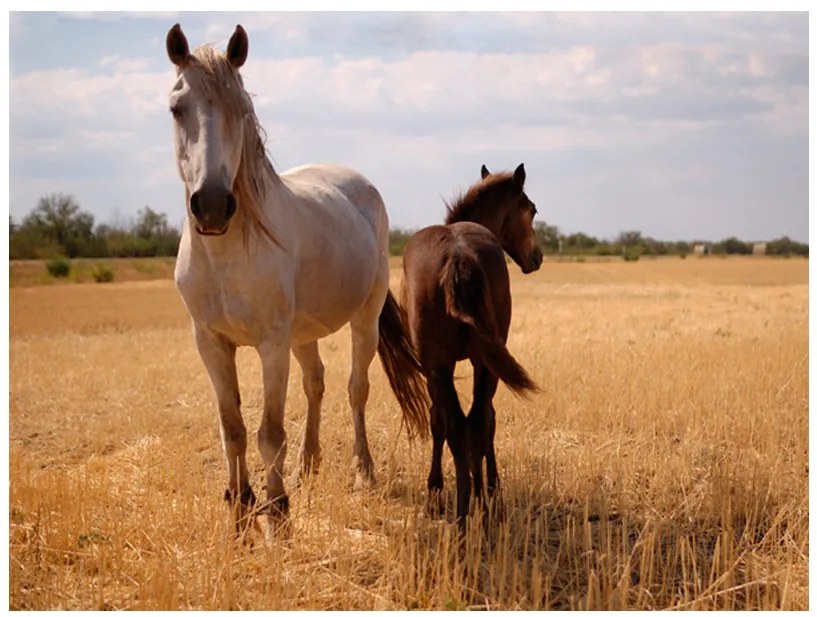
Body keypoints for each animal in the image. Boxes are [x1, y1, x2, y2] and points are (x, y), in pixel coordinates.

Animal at [164, 24, 428, 532]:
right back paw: (309, 465)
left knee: (355, 388)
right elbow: (232, 429)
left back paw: (363, 472)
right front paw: (240, 503)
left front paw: (277, 511)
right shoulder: (210, 343)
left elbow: (268, 433)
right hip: (302, 334)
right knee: (316, 384)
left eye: (242, 109)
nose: (212, 206)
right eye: (176, 108)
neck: (227, 255)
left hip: (362, 320)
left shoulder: (271, 344)